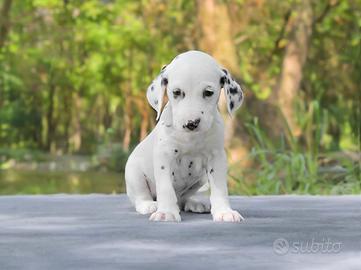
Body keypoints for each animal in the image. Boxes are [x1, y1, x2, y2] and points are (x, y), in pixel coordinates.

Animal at [124, 50, 245, 221]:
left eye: (208, 92)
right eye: (176, 92)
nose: (191, 123)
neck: (191, 138)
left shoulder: (217, 158)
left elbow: (220, 189)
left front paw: (224, 212)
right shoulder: (164, 156)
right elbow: (165, 188)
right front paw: (166, 212)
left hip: (200, 180)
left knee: (182, 199)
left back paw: (194, 203)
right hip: (134, 174)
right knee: (140, 196)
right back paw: (149, 205)